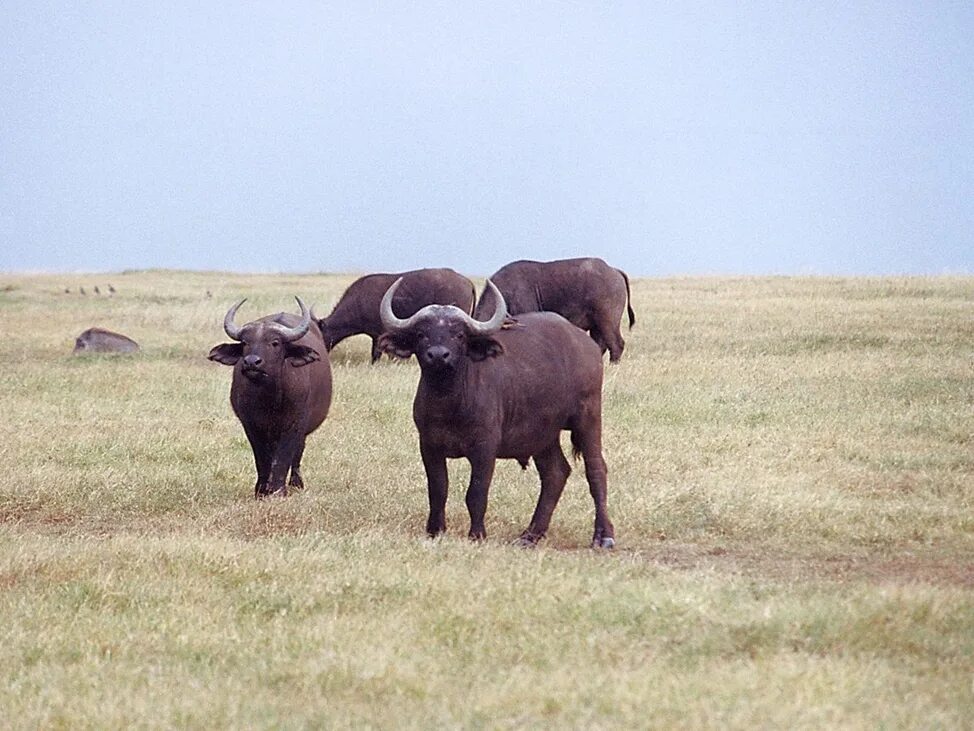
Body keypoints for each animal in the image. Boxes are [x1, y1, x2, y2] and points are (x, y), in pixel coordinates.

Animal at [208, 298, 334, 498]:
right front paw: (261, 490)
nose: (252, 362)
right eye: (245, 342)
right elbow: (262, 458)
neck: (270, 399)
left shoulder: (294, 425)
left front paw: (277, 490)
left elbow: (284, 456)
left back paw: (296, 483)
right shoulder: (251, 425)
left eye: (275, 342)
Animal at [382, 278, 616, 548]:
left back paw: (604, 536)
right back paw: (530, 535)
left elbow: (476, 493)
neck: (449, 403)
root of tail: (587, 345)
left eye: (459, 335)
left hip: (588, 417)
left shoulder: (485, 448)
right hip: (543, 435)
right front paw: (435, 531)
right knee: (555, 473)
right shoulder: (429, 446)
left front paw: (477, 534)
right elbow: (438, 489)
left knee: (596, 470)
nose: (438, 355)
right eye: (422, 334)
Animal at [474, 258, 640, 364]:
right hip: (596, 326)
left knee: (616, 344)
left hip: (608, 322)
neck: (506, 294)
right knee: (601, 345)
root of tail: (613, 270)